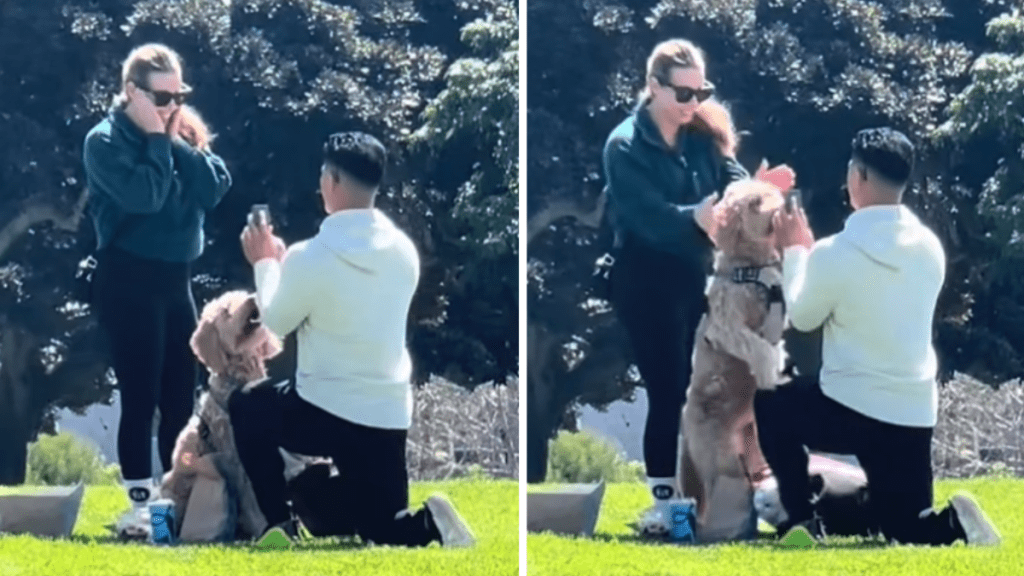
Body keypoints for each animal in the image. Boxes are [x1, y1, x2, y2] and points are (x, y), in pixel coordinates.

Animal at [158, 289, 280, 541]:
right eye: (225, 311)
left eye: (244, 295)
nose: (253, 299)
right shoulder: (237, 459)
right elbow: (253, 499)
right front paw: (262, 527)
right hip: (175, 486)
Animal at [684, 180, 786, 541]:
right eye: (755, 203)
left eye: (770, 192)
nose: (785, 203)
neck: (750, 268)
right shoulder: (729, 326)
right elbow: (760, 348)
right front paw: (772, 374)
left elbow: (773, 342)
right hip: (719, 458)